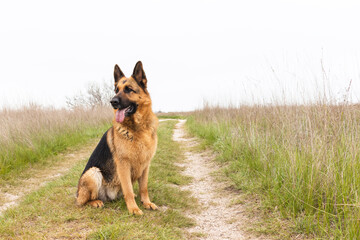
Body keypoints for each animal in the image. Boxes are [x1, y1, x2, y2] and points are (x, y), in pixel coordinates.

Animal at [76, 61, 158, 215]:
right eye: (116, 90)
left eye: (129, 89)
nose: (112, 102)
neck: (138, 129)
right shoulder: (123, 165)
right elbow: (128, 190)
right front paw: (133, 208)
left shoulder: (146, 165)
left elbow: (143, 187)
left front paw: (146, 203)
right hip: (93, 172)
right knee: (84, 201)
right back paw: (95, 202)